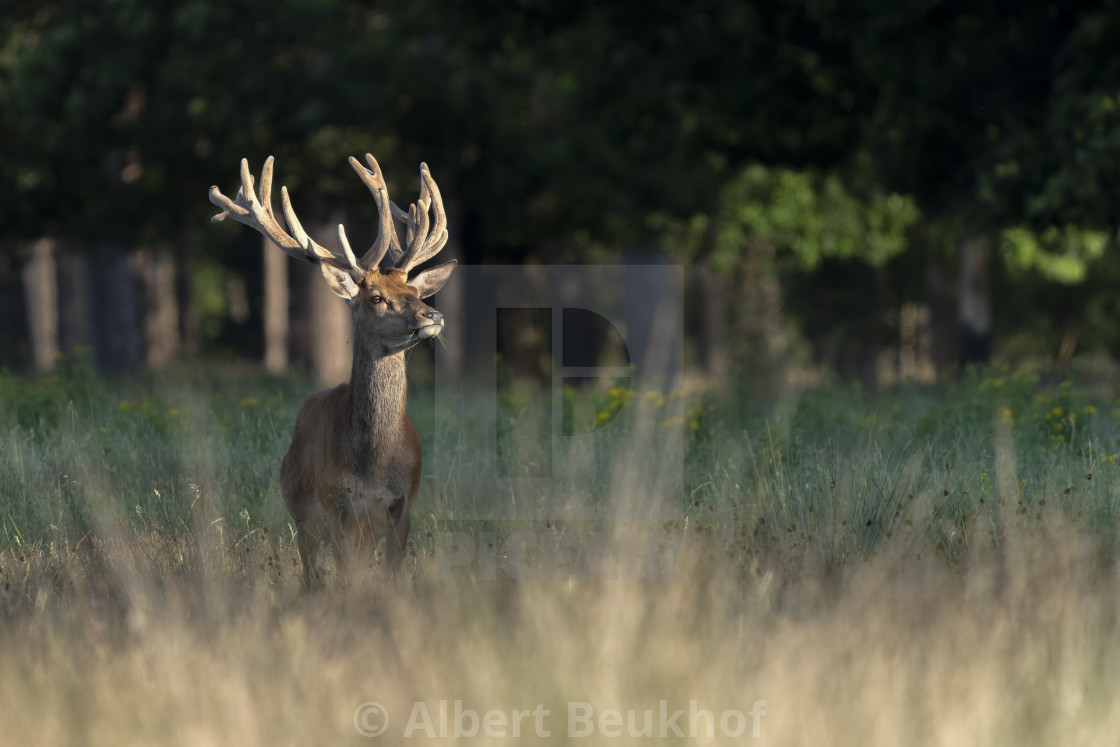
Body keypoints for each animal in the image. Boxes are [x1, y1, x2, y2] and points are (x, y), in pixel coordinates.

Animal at [210, 154, 454, 586]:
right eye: (376, 298)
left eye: (415, 292)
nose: (433, 315)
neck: (373, 467)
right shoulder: (335, 508)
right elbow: (348, 578)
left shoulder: (405, 504)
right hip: (302, 520)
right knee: (311, 575)